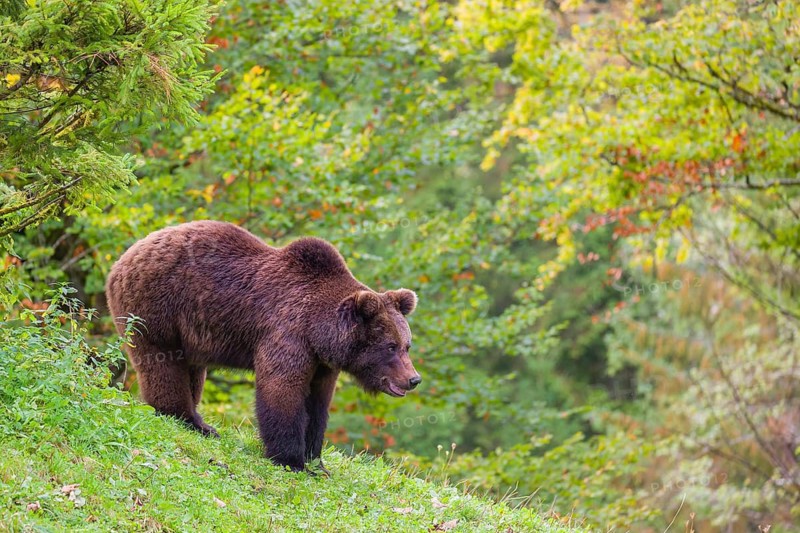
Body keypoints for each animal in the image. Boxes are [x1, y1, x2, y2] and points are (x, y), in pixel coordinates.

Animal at [106, 220, 420, 472]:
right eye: (390, 346)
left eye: (407, 345)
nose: (413, 379)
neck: (319, 332)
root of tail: (122, 258)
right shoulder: (287, 333)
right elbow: (282, 390)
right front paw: (291, 460)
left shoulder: (322, 363)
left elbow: (318, 403)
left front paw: (316, 459)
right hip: (158, 307)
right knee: (163, 364)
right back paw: (189, 420)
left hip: (187, 331)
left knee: (191, 368)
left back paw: (201, 423)